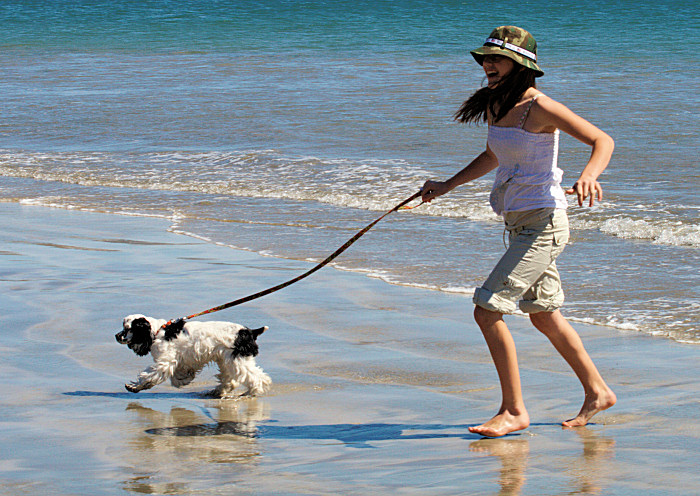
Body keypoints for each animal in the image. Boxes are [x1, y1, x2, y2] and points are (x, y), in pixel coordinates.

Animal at [115, 314, 270, 400]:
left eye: (127, 329)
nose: (116, 335)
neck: (158, 331)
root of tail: (250, 332)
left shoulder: (165, 362)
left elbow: (148, 376)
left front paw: (134, 386)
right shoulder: (181, 360)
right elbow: (179, 375)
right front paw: (184, 379)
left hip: (238, 360)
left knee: (259, 378)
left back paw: (250, 393)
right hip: (226, 360)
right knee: (230, 381)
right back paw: (216, 392)